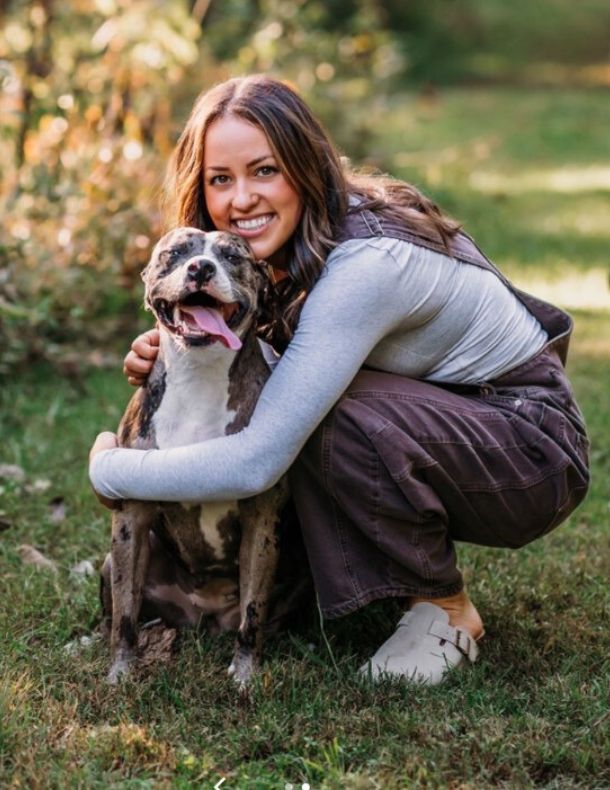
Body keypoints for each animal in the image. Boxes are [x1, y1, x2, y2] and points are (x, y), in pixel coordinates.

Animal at [102, 226, 288, 688]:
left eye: (232, 256)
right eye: (175, 252)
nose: (200, 268)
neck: (199, 373)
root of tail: (201, 615)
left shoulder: (262, 522)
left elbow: (253, 614)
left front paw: (245, 675)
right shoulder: (131, 518)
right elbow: (125, 614)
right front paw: (120, 673)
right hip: (113, 559)